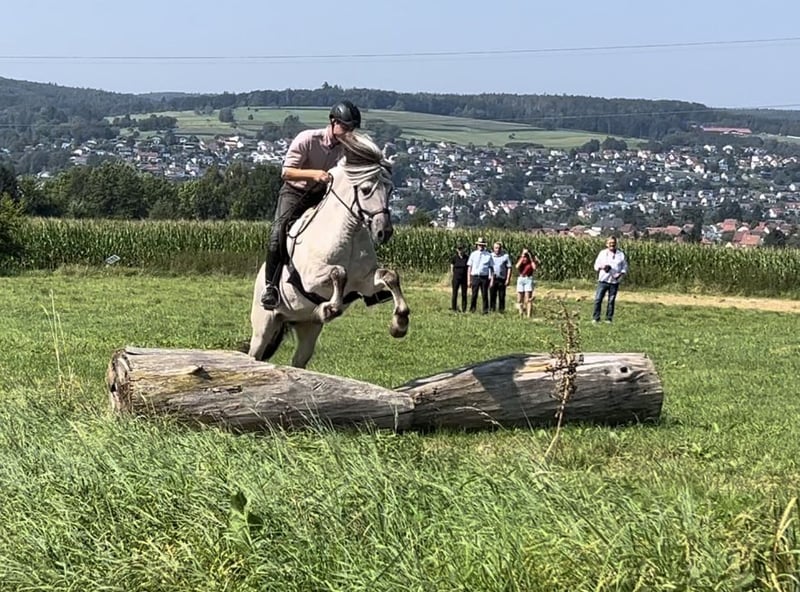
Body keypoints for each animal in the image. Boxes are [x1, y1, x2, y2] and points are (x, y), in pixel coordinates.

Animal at [248, 131, 410, 368]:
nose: (384, 232)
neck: (349, 233)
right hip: (265, 324)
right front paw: (330, 308)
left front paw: (400, 323)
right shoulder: (310, 279)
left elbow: (389, 276)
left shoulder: (364, 282)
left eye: (390, 190)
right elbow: (338, 272)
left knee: (298, 362)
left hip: (308, 327)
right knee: (255, 354)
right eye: (365, 189)